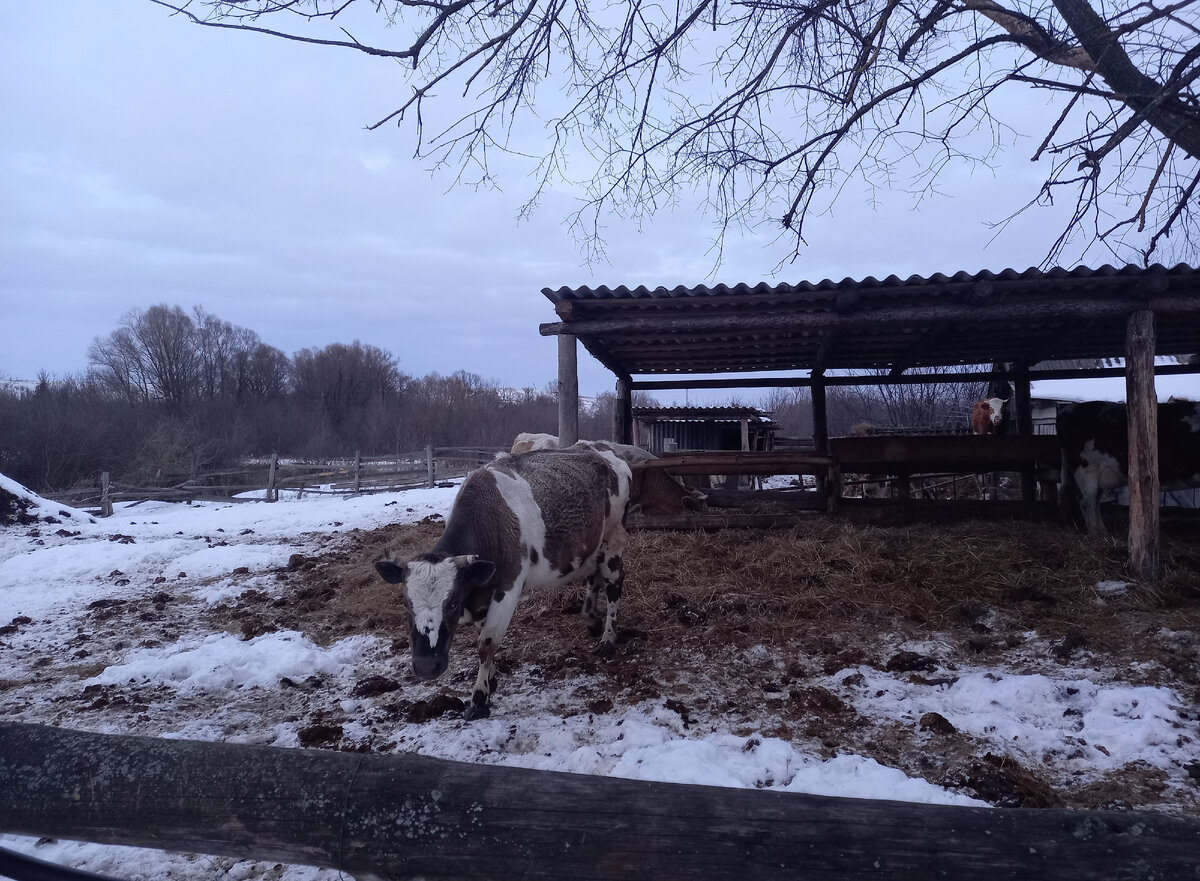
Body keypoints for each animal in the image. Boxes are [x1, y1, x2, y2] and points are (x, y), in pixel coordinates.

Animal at [374, 451, 633, 720]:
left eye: (453, 602)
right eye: (406, 603)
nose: (426, 666)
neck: (488, 523)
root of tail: (606, 455)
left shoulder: (508, 588)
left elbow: (486, 643)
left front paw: (479, 699)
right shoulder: (480, 593)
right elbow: (482, 636)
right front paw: (491, 680)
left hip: (613, 540)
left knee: (613, 585)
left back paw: (608, 639)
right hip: (591, 549)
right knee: (593, 578)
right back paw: (592, 620)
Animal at [1060, 400, 1200, 537]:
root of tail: (1068, 409)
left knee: (1095, 500)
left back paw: (1102, 531)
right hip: (1085, 468)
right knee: (1087, 500)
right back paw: (1094, 533)